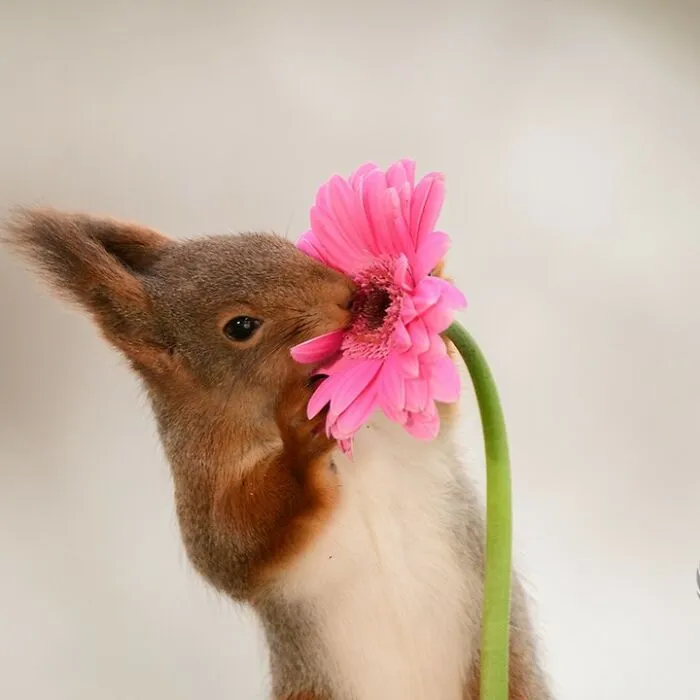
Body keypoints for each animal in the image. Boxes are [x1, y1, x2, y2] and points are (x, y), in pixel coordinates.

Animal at [6, 209, 552, 700]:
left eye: (274, 241)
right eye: (240, 326)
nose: (348, 295)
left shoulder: (398, 423)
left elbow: (439, 406)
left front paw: (428, 277)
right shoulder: (201, 485)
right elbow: (230, 546)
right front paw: (300, 442)